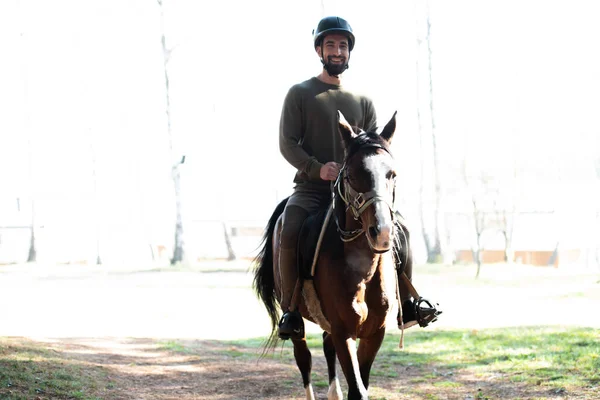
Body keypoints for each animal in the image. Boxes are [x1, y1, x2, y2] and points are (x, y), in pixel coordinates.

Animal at [253, 111, 408, 400]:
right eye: (352, 174)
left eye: (391, 174)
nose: (382, 231)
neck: (362, 269)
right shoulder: (343, 330)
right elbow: (357, 390)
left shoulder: (374, 333)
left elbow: (360, 384)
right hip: (296, 320)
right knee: (304, 358)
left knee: (326, 349)